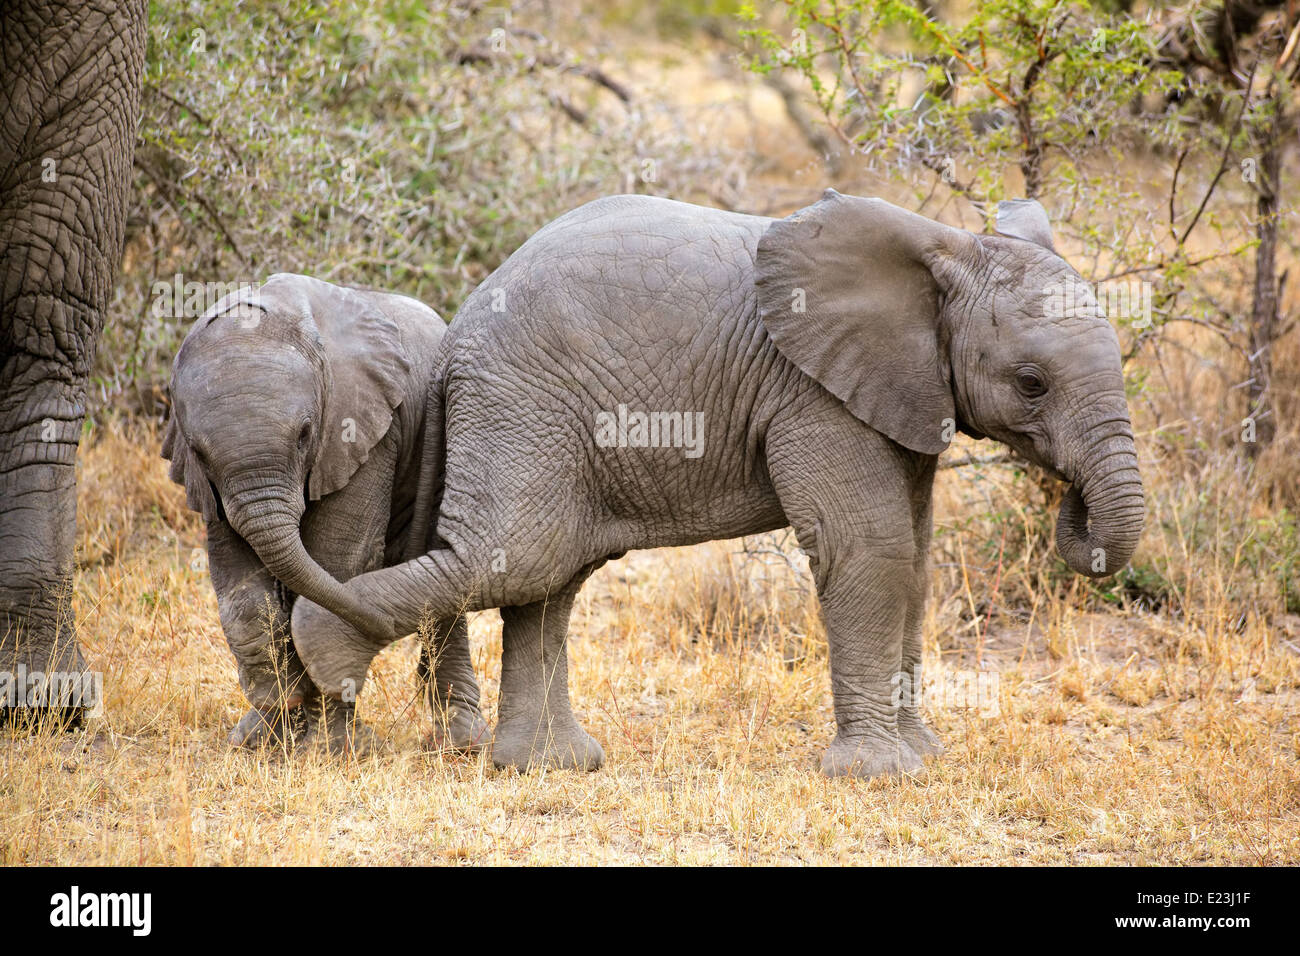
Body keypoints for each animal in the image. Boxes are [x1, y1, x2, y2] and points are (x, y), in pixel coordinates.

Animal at [162, 270, 488, 754]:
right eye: (198, 453)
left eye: (304, 434)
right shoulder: (211, 485)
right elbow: (239, 582)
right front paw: (272, 721)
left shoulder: (367, 431)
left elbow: (338, 560)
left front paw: (332, 746)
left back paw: (464, 742)